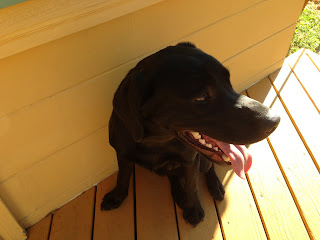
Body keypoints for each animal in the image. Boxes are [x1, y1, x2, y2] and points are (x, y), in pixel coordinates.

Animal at [101, 42, 278, 226]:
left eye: (228, 82)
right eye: (202, 97)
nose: (275, 120)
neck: (156, 142)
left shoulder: (191, 160)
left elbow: (192, 186)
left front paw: (193, 209)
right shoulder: (122, 154)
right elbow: (122, 177)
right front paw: (116, 196)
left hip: (203, 161)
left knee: (209, 168)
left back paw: (214, 186)